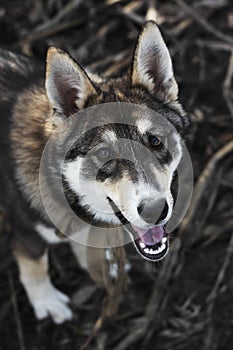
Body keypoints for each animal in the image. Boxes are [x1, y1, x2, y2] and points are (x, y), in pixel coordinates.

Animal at [0, 21, 189, 322]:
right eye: (103, 154)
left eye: (155, 141)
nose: (154, 210)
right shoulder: (25, 230)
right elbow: (34, 264)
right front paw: (46, 300)